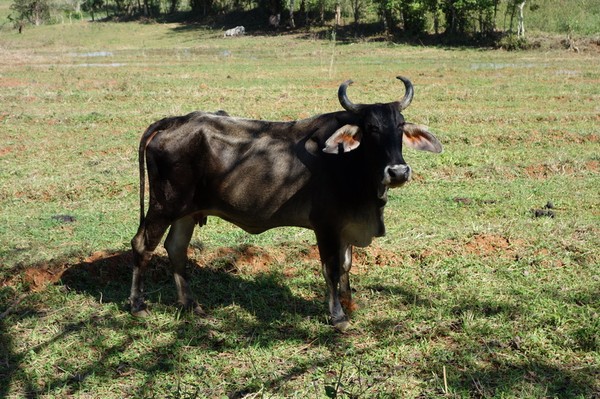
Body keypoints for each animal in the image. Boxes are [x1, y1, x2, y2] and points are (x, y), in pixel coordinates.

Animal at [131, 76, 440, 332]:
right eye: (372, 128)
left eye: (400, 125)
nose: (398, 172)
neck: (351, 164)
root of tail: (176, 120)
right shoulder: (326, 226)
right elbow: (331, 268)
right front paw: (338, 317)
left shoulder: (346, 226)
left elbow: (346, 265)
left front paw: (349, 305)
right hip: (164, 205)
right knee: (142, 245)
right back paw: (138, 305)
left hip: (187, 211)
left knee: (176, 249)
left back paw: (191, 305)